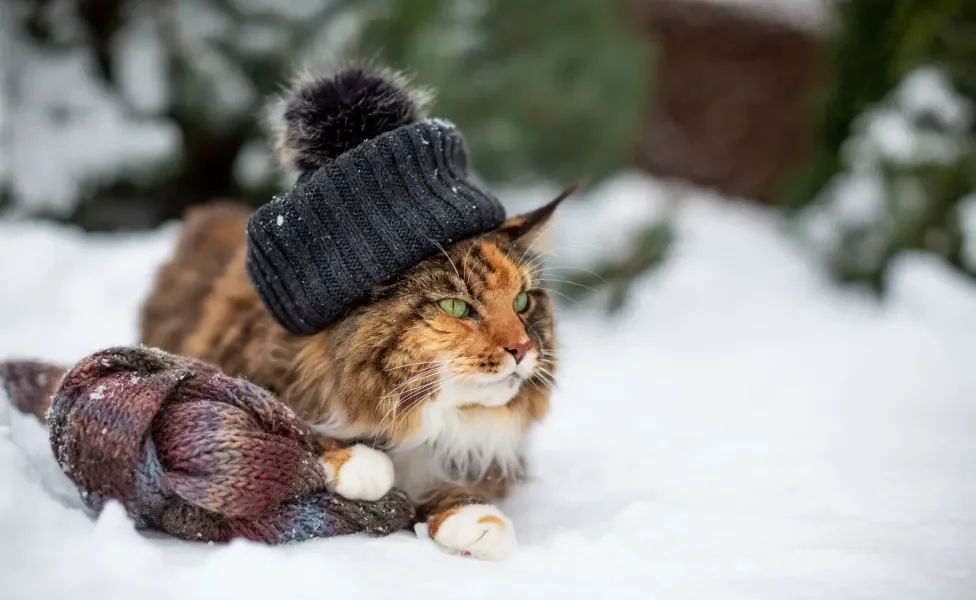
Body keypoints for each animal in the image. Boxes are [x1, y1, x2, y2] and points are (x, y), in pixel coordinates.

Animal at [140, 65, 568, 556]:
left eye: (522, 302)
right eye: (457, 306)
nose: (521, 348)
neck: (421, 418)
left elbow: (465, 482)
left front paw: (475, 518)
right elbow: (297, 427)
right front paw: (360, 463)